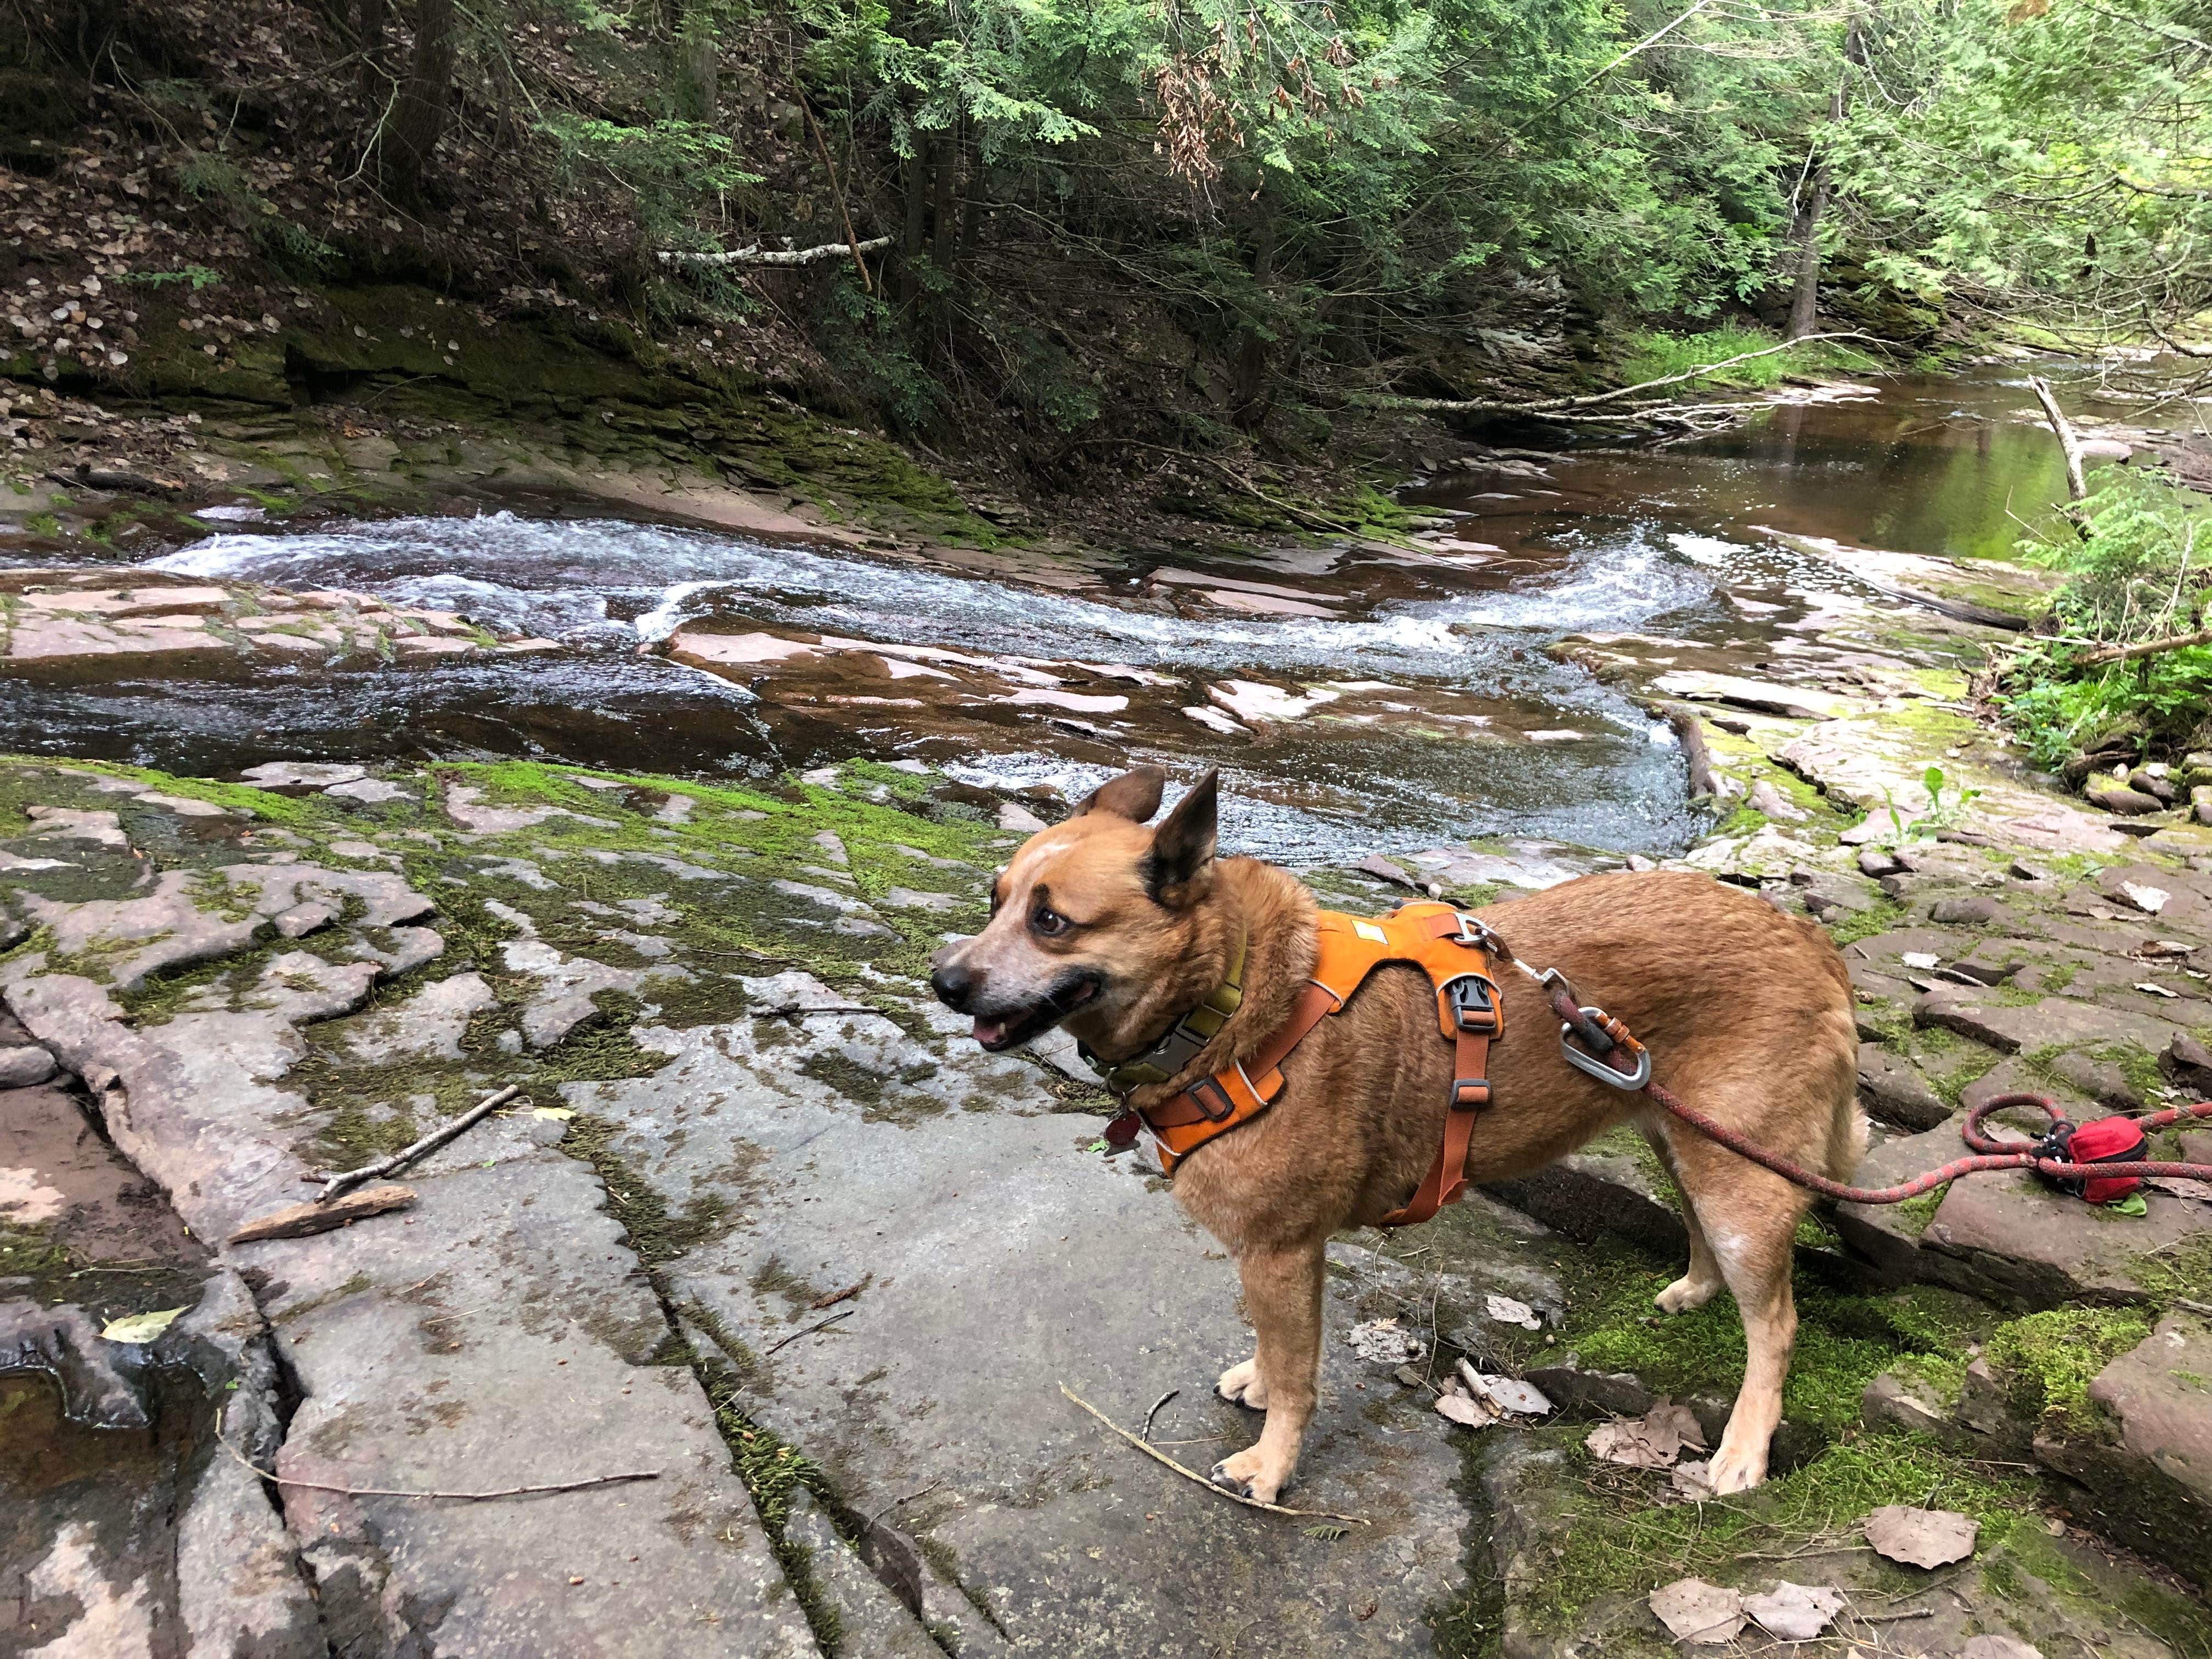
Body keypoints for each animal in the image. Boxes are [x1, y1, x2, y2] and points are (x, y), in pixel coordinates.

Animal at [933, 765, 1867, 1504]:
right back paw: (1696, 1290)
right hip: (1688, 1142)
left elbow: (1300, 1377)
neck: (1231, 1001)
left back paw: (1744, 1448)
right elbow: (1274, 1351)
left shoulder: (1281, 1252)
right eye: (995, 900)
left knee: (1776, 1324)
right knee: (1703, 1231)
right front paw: (1259, 1383)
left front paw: (1272, 1465)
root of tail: (1806, 936)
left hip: (1741, 1184)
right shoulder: (1274, 1259)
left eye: (1051, 922)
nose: (944, 981)